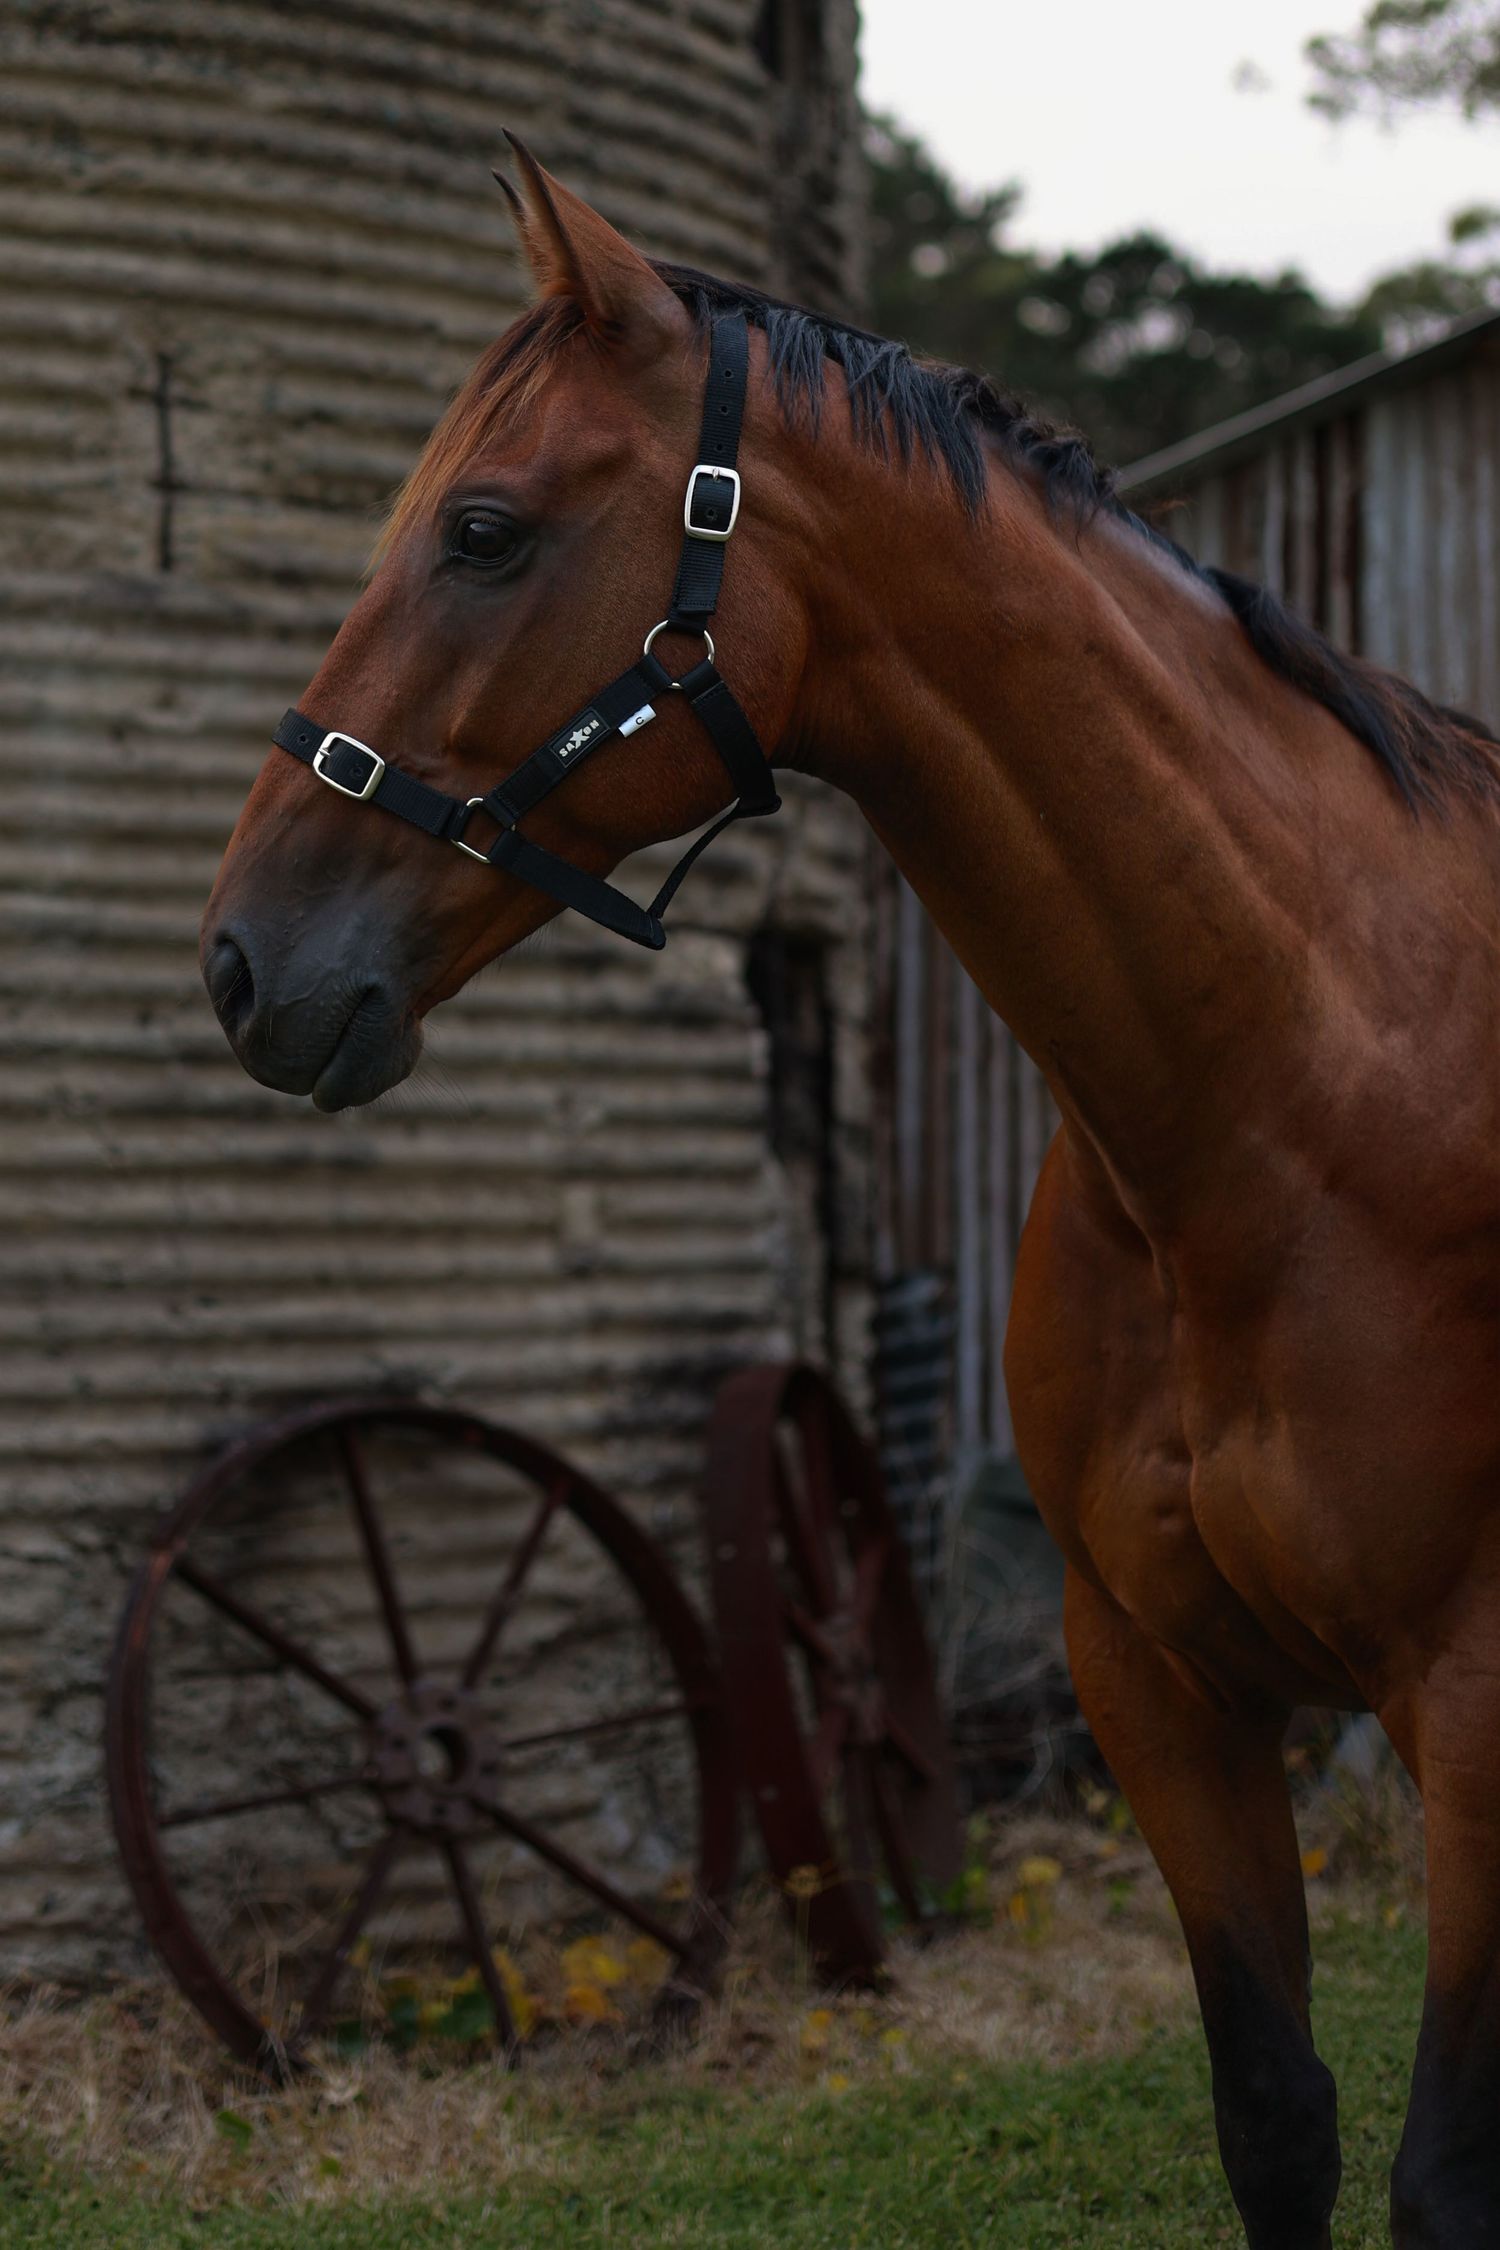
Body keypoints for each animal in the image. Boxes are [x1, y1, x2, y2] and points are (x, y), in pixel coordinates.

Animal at [201, 140, 1500, 2247]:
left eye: (481, 531)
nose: (242, 960)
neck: (1295, 1101)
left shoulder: (1474, 1703)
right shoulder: (1160, 1691)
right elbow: (1274, 2117)